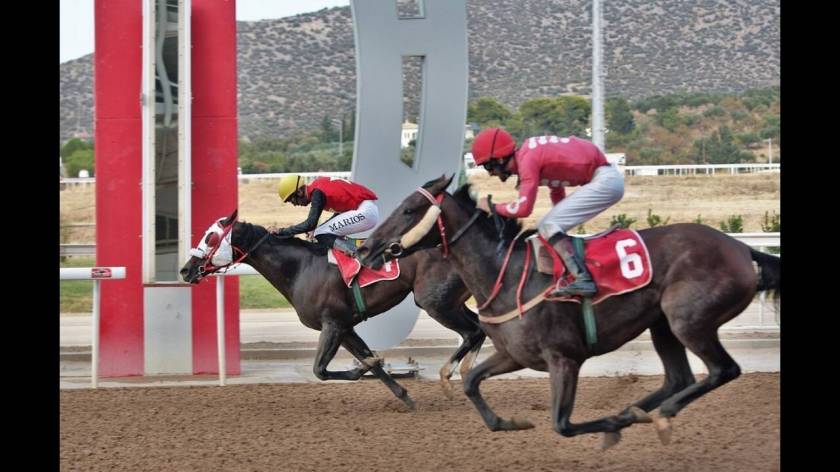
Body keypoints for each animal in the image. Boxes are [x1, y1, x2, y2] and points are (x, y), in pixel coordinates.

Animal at [182, 210, 486, 410]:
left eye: (210, 238)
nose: (186, 270)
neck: (300, 268)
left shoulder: (332, 325)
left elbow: (320, 370)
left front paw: (362, 369)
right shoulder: (346, 327)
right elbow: (371, 363)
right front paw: (402, 394)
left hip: (433, 302)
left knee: (472, 331)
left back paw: (449, 376)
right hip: (450, 301)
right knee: (479, 328)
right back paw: (467, 373)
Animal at [356, 175, 780, 448]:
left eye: (409, 209)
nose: (367, 247)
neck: (509, 274)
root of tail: (741, 248)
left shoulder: (565, 359)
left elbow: (562, 424)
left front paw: (608, 425)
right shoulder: (514, 355)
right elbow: (472, 381)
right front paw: (510, 421)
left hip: (687, 319)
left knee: (723, 370)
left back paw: (652, 415)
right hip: (662, 324)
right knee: (678, 378)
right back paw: (638, 412)